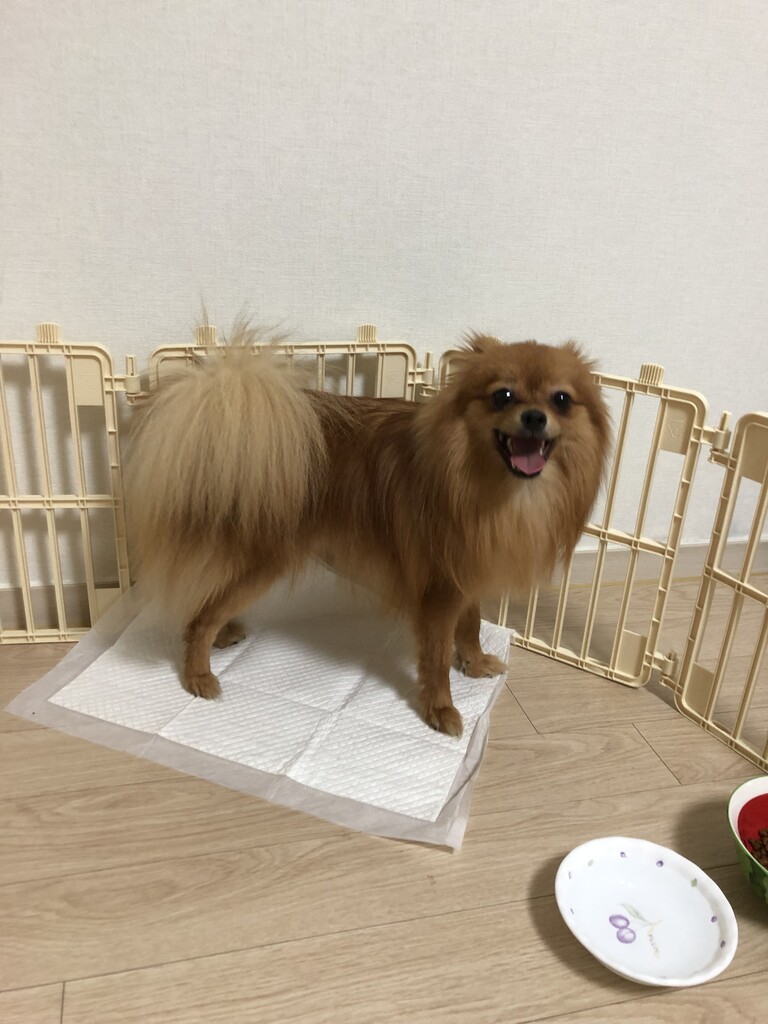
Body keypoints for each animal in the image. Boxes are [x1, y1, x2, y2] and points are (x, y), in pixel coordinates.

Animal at [125, 328, 610, 736]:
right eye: (502, 396)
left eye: (561, 400)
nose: (534, 417)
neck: (497, 491)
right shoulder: (438, 591)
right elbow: (436, 658)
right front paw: (441, 709)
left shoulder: (465, 574)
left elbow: (470, 626)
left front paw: (473, 665)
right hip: (265, 560)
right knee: (200, 616)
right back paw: (198, 673)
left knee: (207, 603)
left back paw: (223, 635)